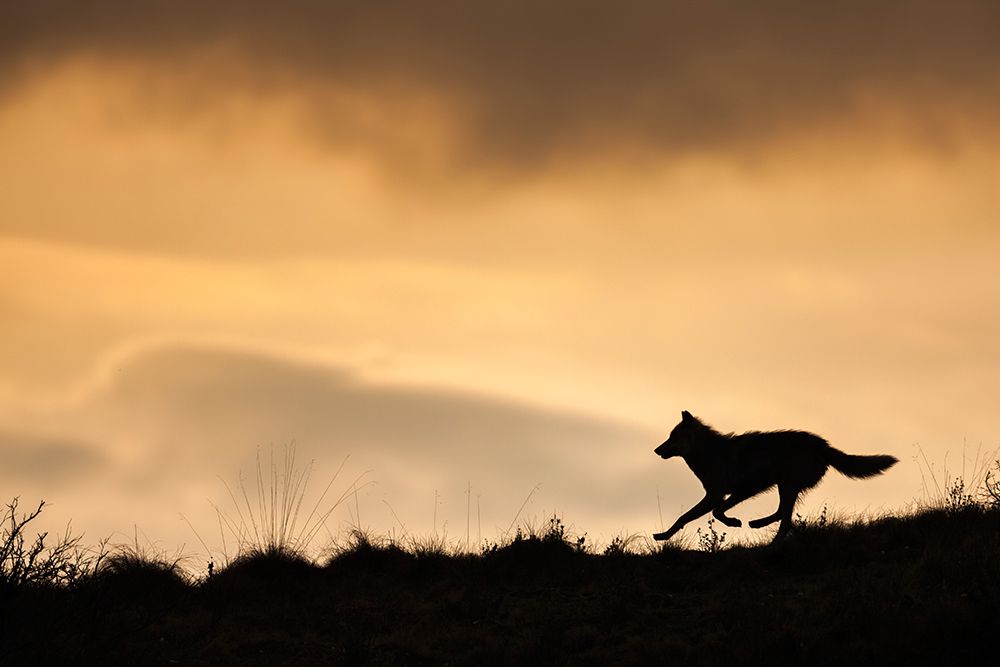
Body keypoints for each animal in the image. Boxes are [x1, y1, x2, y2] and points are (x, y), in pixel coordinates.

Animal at [652, 411, 897, 542]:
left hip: (786, 484)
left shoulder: (720, 495)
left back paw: (769, 539)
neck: (710, 454)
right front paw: (664, 536)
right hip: (784, 485)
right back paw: (758, 525)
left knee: (785, 519)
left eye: (672, 437)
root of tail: (823, 444)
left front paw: (732, 522)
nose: (656, 450)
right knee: (783, 515)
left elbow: (697, 515)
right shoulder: (735, 493)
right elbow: (698, 515)